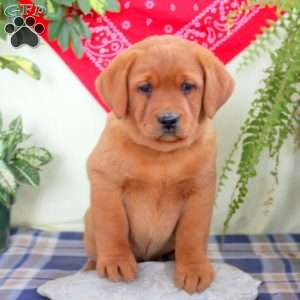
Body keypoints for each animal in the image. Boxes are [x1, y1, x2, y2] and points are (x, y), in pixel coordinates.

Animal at [84, 34, 234, 292]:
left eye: (187, 86)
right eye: (145, 88)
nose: (168, 119)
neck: (161, 154)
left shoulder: (200, 192)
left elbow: (192, 235)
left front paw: (193, 268)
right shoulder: (106, 182)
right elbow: (113, 226)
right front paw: (116, 261)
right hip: (88, 218)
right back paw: (93, 265)